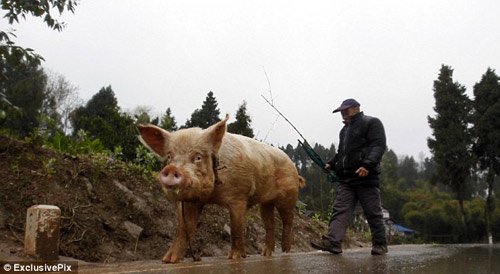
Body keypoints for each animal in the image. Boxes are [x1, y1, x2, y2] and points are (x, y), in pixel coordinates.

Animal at [139, 114, 306, 264]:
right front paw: (168, 260)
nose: (171, 169)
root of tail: (293, 167)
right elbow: (184, 228)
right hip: (265, 203)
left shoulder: (239, 196)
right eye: (169, 156)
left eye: (198, 157)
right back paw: (265, 254)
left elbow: (236, 227)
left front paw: (234, 257)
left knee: (288, 220)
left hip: (288, 196)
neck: (212, 195)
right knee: (269, 224)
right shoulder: (191, 202)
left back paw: (285, 250)